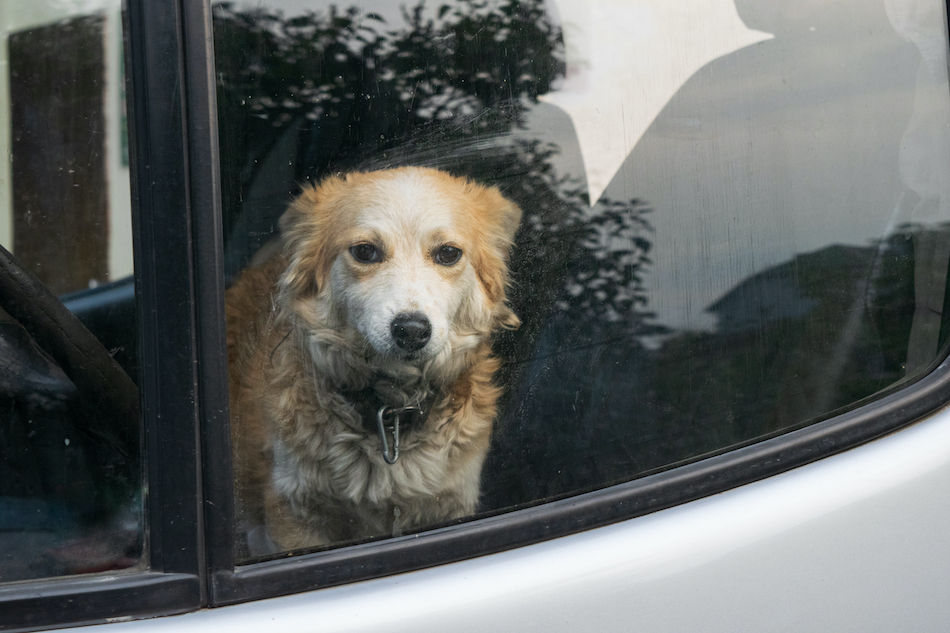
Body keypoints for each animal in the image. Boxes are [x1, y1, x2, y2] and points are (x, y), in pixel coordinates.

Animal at [227, 165, 524, 552]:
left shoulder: (450, 502)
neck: (391, 411)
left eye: (448, 253)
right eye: (365, 251)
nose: (411, 330)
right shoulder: (295, 512)